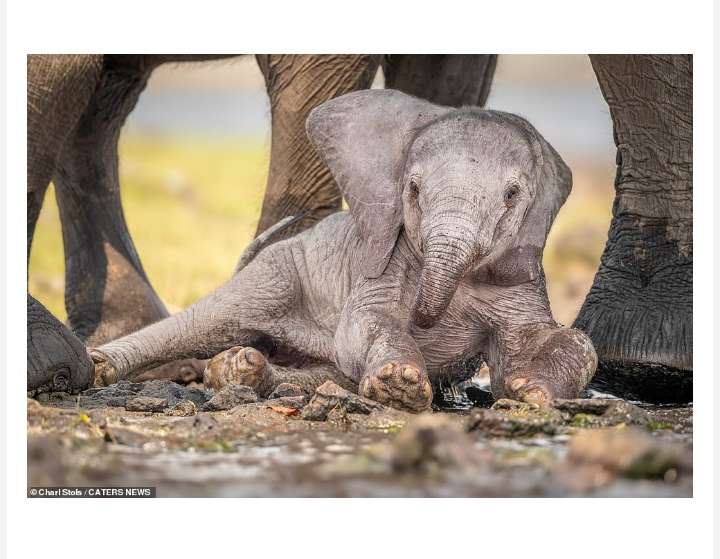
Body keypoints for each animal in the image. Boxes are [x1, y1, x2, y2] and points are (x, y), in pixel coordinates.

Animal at [89, 90, 598, 413]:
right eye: (412, 190)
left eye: (512, 195)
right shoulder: (381, 258)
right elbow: (368, 321)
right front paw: (399, 387)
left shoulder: (522, 273)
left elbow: (551, 343)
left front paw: (530, 392)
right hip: (277, 271)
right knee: (211, 318)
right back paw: (101, 368)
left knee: (331, 373)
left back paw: (242, 371)